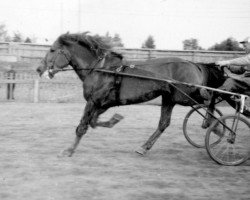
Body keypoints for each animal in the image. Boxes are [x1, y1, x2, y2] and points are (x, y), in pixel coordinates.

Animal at [36, 32, 225, 157]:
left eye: (52, 50)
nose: (39, 69)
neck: (101, 69)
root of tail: (194, 64)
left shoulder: (93, 101)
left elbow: (83, 126)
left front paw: (68, 150)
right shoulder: (103, 104)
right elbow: (94, 122)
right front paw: (114, 120)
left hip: (184, 97)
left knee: (210, 98)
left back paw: (215, 125)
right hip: (169, 98)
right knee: (164, 123)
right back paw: (144, 147)